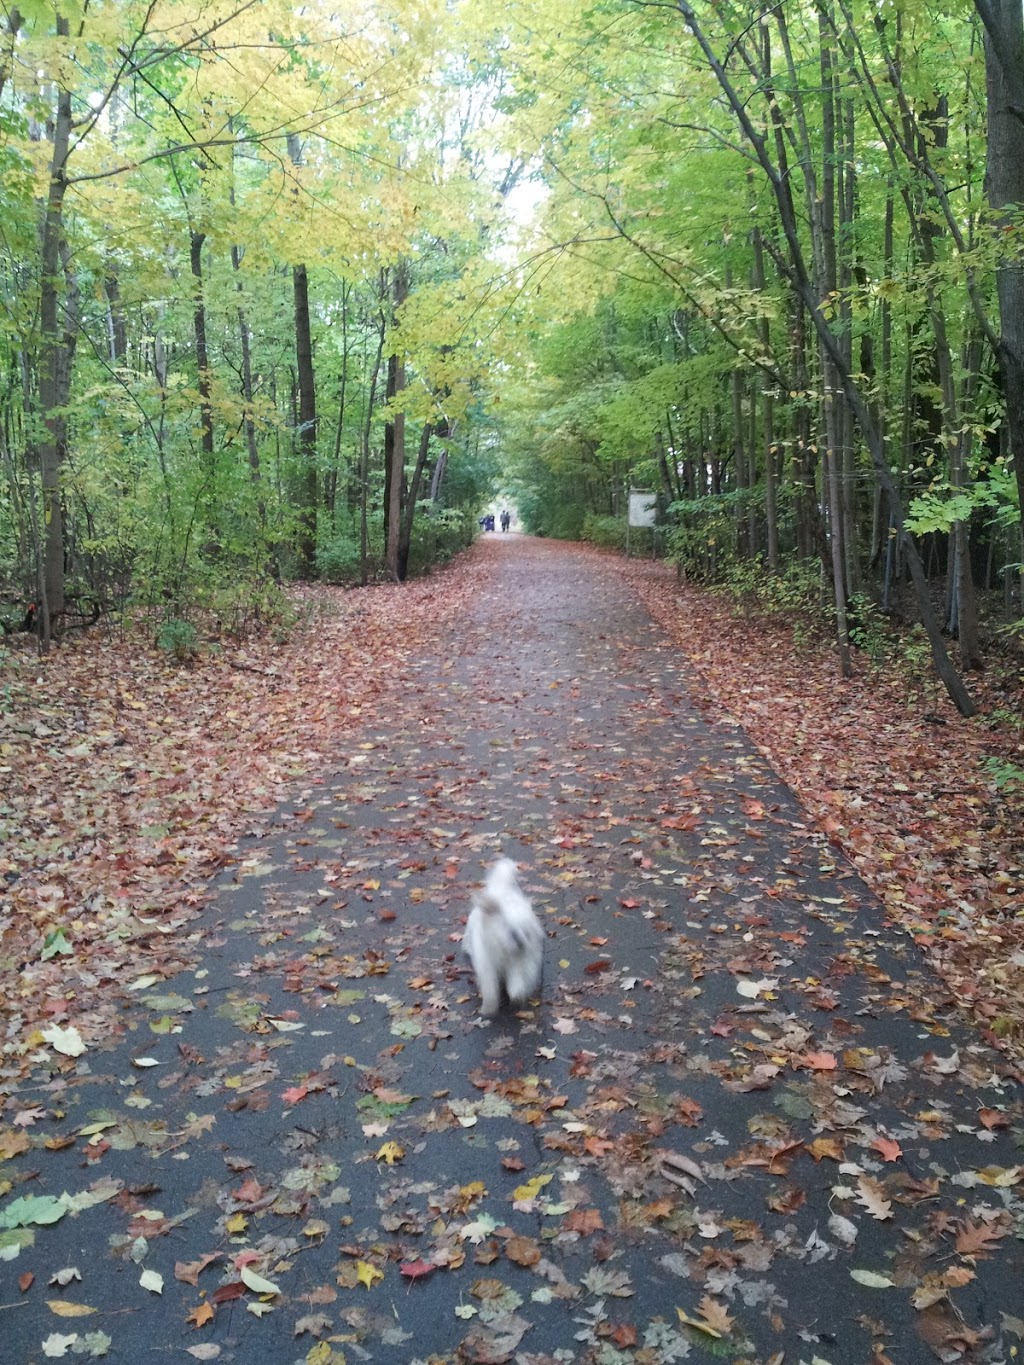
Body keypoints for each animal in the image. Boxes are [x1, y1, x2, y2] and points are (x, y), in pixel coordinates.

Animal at [464, 857, 546, 1021]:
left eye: (526, 932)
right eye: (511, 931)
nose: (520, 942)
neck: (504, 951)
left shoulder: (520, 962)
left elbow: (517, 979)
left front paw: (516, 993)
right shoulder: (486, 964)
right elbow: (490, 988)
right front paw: (488, 1009)